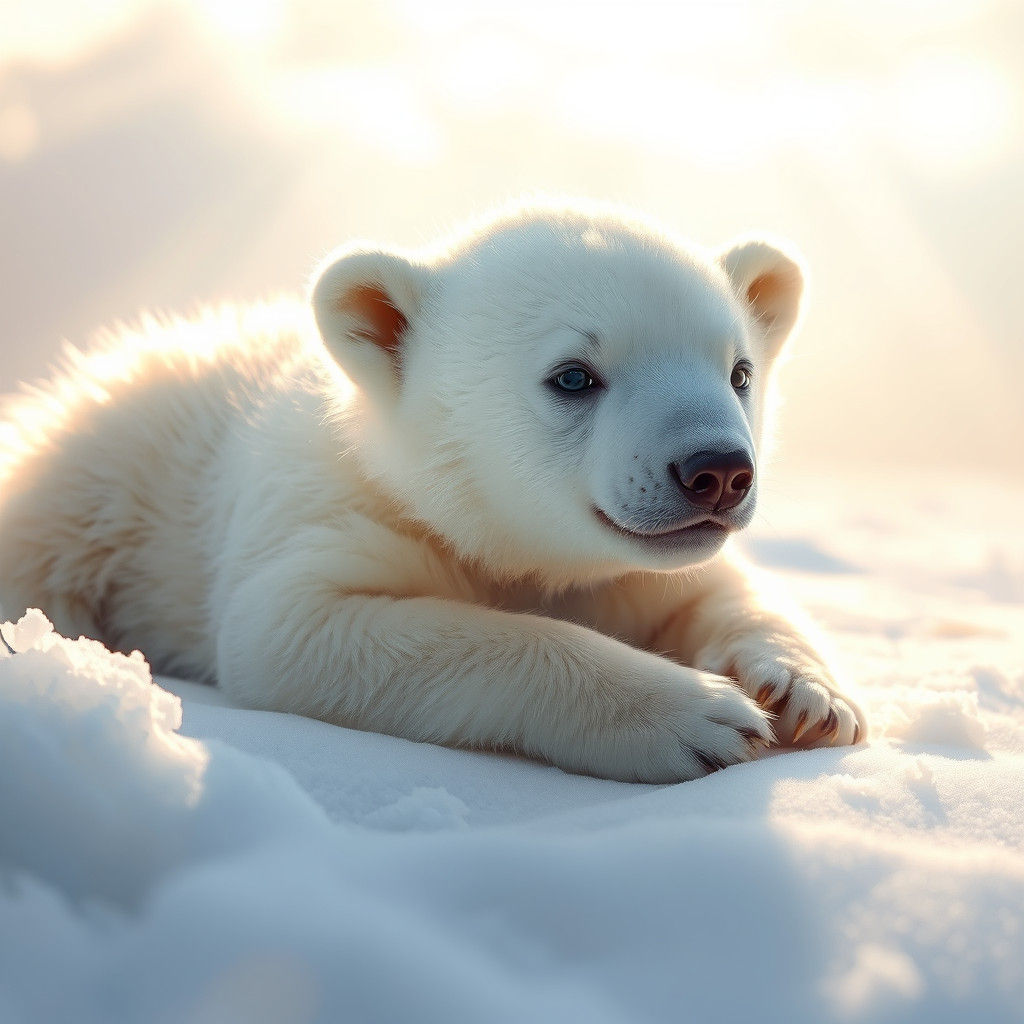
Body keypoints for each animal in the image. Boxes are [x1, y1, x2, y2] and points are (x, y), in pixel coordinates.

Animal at [0, 201, 866, 783]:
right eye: (574, 376)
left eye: (739, 370)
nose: (716, 469)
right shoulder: (329, 513)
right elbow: (295, 630)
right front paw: (700, 716)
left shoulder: (639, 567)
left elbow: (720, 589)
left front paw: (805, 692)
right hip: (86, 497)